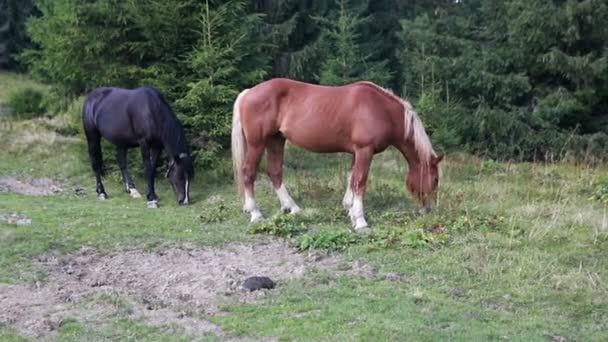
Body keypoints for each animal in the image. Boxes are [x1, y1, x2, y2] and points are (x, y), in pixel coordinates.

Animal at [230, 78, 444, 232]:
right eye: (435, 179)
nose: (429, 209)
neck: (382, 110)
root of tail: (248, 92)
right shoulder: (364, 150)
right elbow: (360, 181)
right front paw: (360, 221)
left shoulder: (356, 152)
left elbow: (352, 178)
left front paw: (350, 210)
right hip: (257, 143)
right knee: (248, 172)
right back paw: (255, 213)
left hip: (276, 140)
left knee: (274, 172)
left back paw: (292, 208)